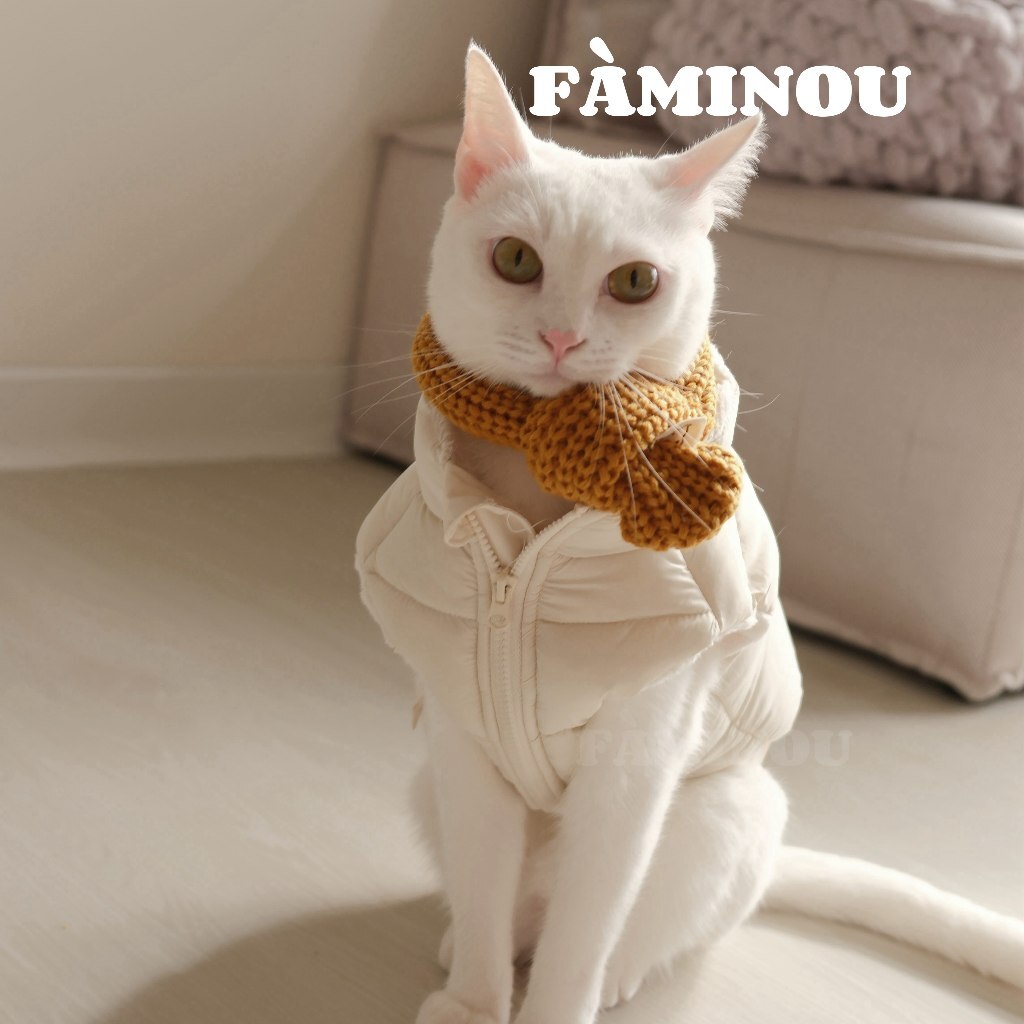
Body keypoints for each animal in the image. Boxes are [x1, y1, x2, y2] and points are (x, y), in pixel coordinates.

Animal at [355, 43, 1024, 1024]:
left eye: (635, 281)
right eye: (515, 260)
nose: (561, 337)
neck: (533, 526)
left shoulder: (635, 765)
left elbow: (585, 932)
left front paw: (551, 1011)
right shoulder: (462, 742)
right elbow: (480, 890)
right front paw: (473, 1002)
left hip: (724, 812)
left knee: (628, 931)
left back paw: (618, 977)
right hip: (426, 780)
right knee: (509, 915)